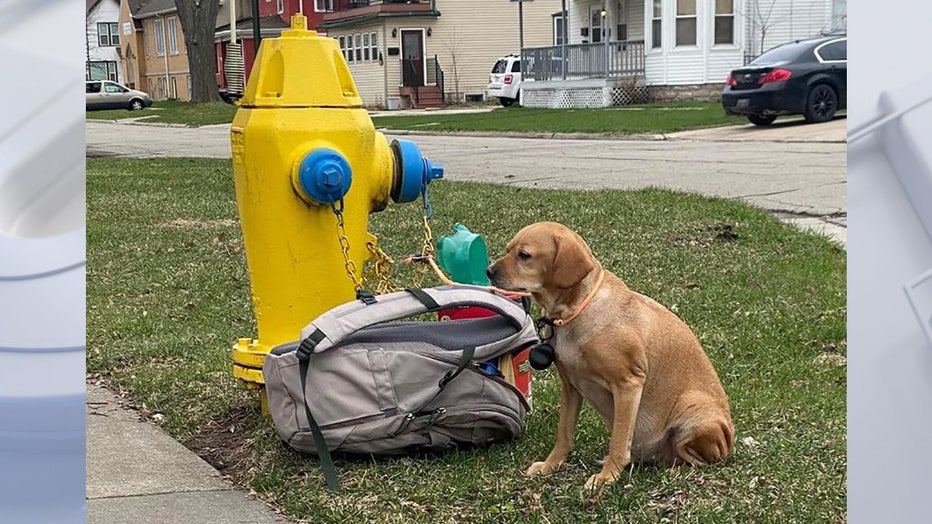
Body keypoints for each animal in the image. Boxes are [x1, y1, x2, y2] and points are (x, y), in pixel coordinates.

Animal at [488, 220, 736, 488]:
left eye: (524, 255)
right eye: (508, 249)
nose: (489, 271)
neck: (575, 311)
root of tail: (729, 441)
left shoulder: (628, 383)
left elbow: (618, 440)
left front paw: (607, 476)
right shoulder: (570, 387)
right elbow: (564, 434)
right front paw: (550, 465)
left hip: (694, 414)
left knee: (700, 460)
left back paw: (674, 472)